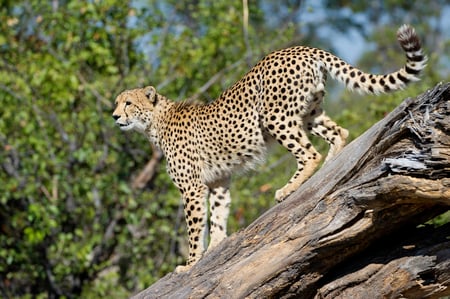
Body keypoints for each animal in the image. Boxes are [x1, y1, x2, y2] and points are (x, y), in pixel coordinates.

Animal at [111, 24, 426, 272]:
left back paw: (290, 188)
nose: (114, 116)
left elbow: (195, 226)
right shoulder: (218, 181)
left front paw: (189, 263)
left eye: (128, 103)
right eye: (117, 102)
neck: (155, 122)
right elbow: (218, 217)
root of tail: (301, 48)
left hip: (275, 115)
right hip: (309, 111)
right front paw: (214, 249)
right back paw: (329, 171)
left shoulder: (192, 188)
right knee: (339, 132)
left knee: (309, 153)